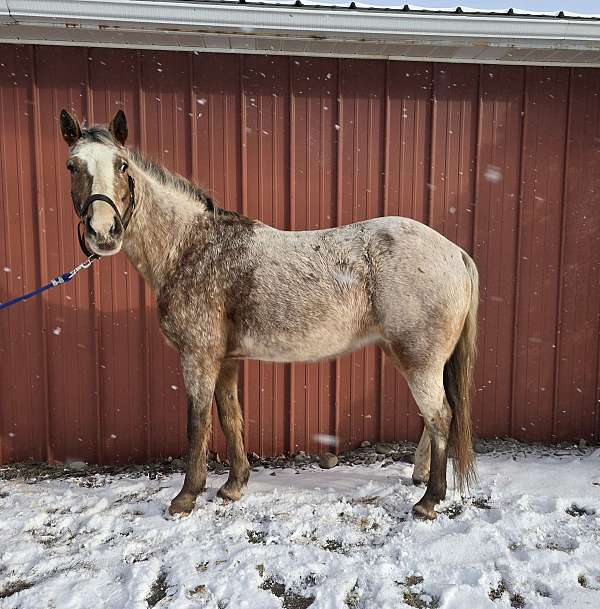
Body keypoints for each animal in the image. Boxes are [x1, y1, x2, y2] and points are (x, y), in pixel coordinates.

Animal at [57, 108, 478, 516]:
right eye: (72, 166)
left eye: (122, 164)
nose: (103, 232)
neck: (190, 246)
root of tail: (455, 252)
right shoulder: (226, 360)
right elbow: (230, 417)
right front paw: (232, 487)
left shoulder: (198, 357)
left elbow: (197, 423)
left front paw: (186, 497)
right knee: (435, 417)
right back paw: (419, 477)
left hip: (418, 359)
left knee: (440, 416)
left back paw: (429, 500)